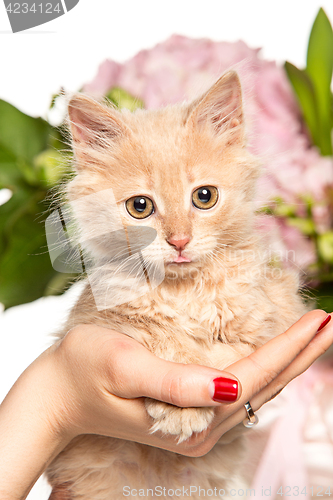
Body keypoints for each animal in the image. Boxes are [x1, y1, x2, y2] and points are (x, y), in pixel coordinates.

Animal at [45, 71, 304, 500]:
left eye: (205, 197)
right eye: (140, 207)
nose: (179, 241)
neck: (183, 291)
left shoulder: (276, 308)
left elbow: (230, 346)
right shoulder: (91, 320)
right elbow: (157, 332)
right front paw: (182, 404)